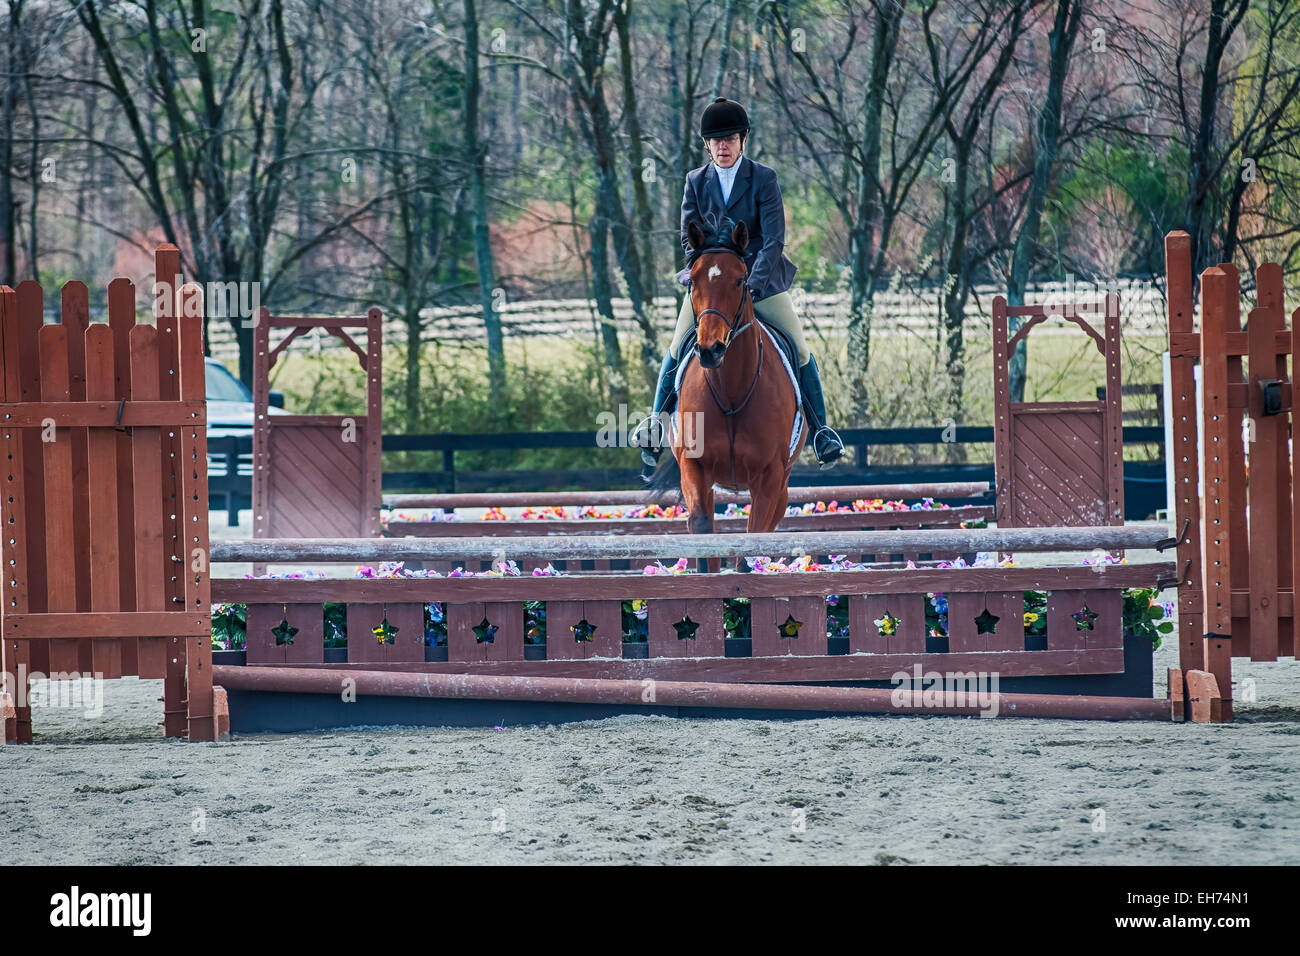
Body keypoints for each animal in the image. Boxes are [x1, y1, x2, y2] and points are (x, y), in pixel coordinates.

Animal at [647, 216, 807, 570]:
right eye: (692, 281)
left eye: (740, 281)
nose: (710, 349)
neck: (731, 390)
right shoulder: (694, 465)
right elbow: (702, 527)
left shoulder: (770, 476)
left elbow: (752, 540)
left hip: (782, 485)